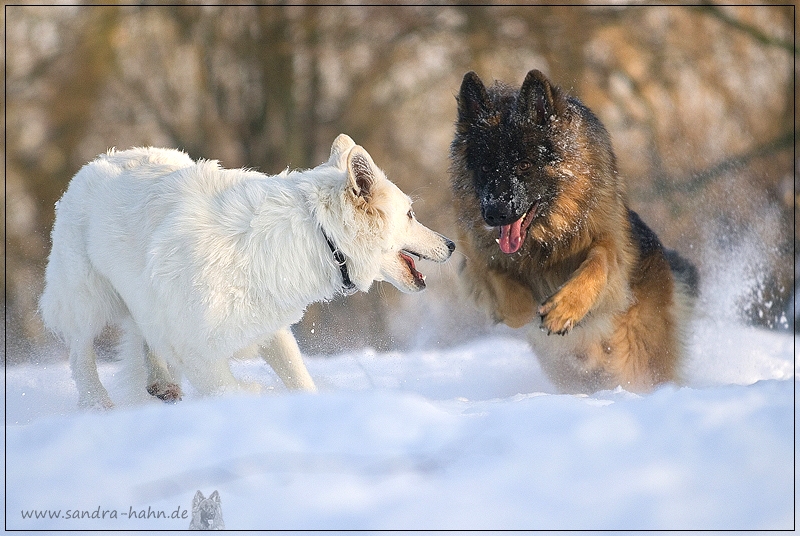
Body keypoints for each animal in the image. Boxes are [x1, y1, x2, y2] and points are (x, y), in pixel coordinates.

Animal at [40, 134, 454, 406]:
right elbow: (231, 390)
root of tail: (94, 162)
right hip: (88, 300)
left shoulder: (271, 329)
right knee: (80, 352)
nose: (451, 245)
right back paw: (97, 403)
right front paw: (256, 397)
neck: (315, 233)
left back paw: (162, 383)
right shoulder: (198, 350)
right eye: (410, 214)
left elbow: (299, 378)